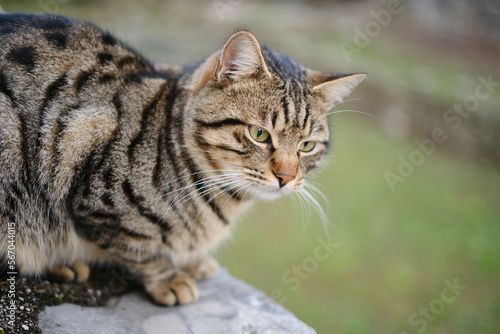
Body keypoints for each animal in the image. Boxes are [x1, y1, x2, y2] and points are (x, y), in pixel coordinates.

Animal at [0, 13, 364, 306]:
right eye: (259, 134)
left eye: (307, 146)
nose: (286, 177)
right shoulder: (91, 182)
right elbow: (139, 249)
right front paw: (170, 278)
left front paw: (193, 260)